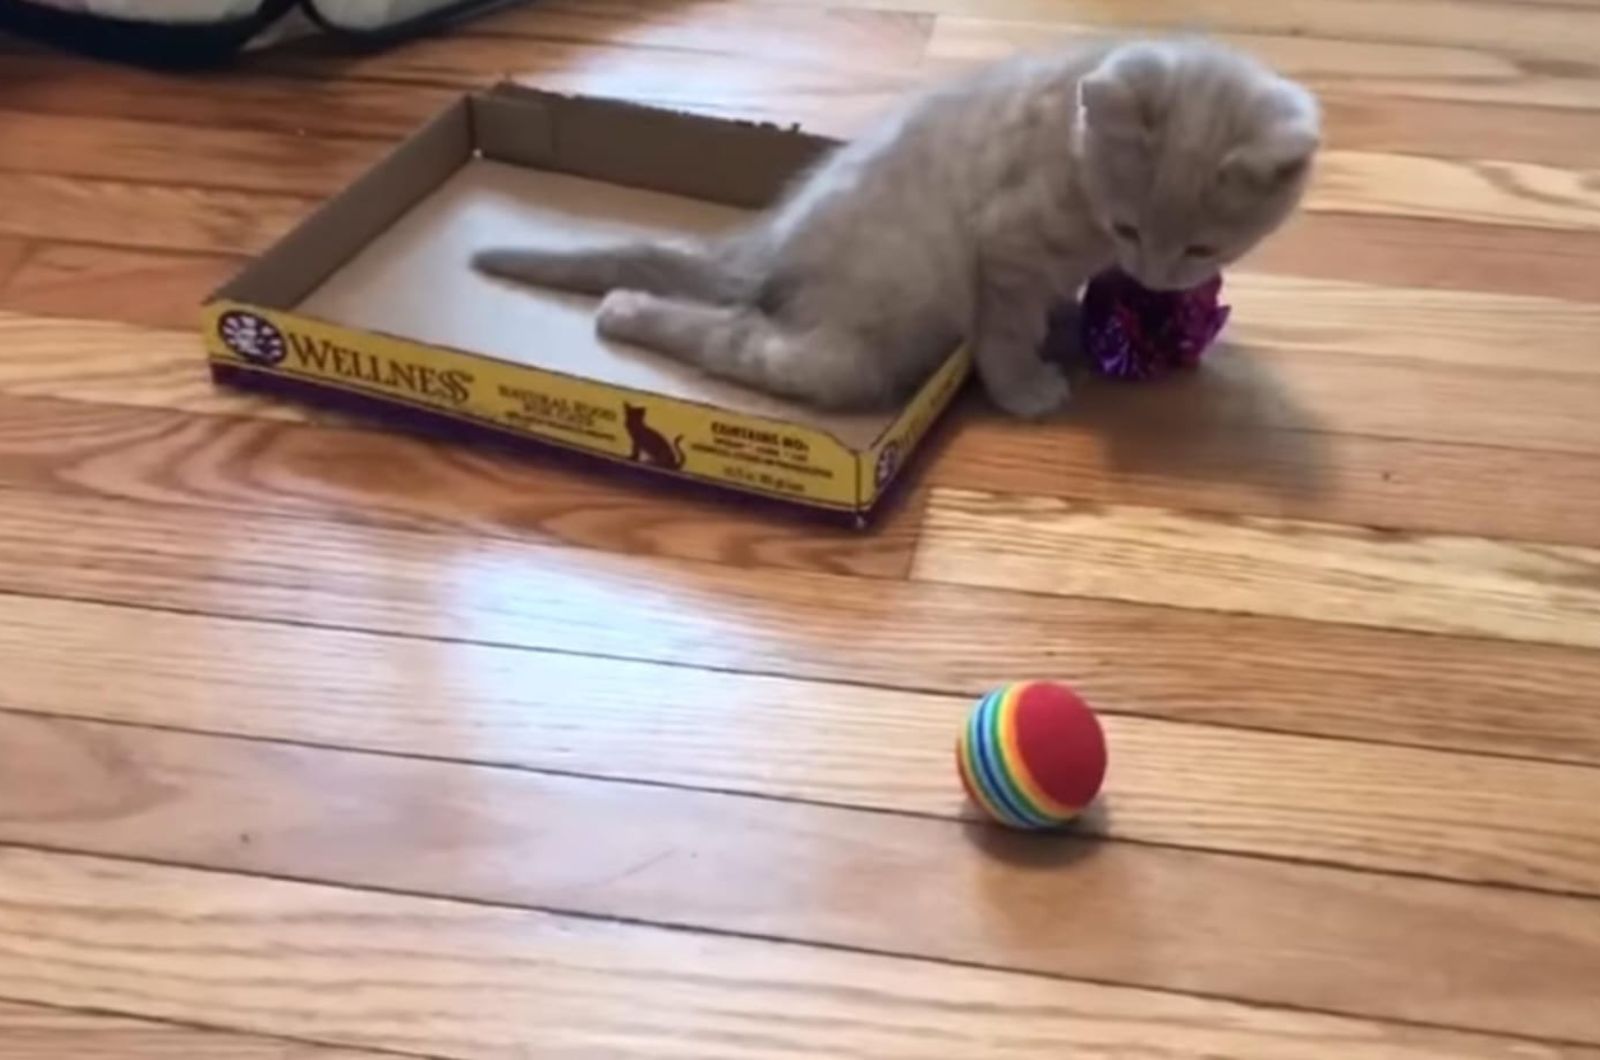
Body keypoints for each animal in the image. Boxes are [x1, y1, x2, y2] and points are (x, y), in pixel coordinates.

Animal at [467, 38, 1318, 419]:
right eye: (1128, 228)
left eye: (1203, 248)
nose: (1152, 278)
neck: (1073, 153)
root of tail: (773, 241)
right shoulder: (1005, 248)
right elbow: (1005, 332)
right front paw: (1027, 387)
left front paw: (1078, 322)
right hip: (862, 340)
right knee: (746, 341)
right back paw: (625, 310)